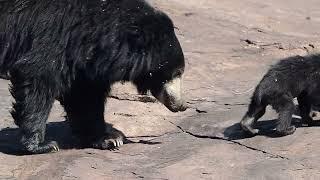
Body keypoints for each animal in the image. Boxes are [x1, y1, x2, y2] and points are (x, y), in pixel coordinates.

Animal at [0, 0, 186, 154]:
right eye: (176, 72)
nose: (181, 105)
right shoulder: (52, 31)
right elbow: (38, 77)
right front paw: (43, 145)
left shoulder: (83, 56)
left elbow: (84, 96)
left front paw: (109, 138)